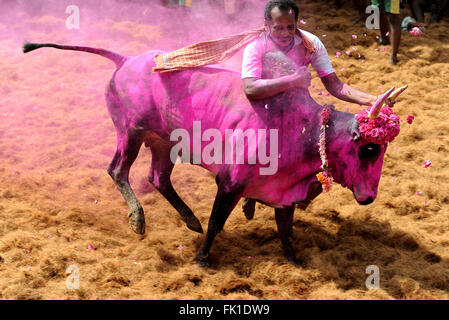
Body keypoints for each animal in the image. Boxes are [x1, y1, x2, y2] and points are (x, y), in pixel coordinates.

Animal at [22, 43, 404, 268]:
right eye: (369, 148)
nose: (369, 197)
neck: (304, 130)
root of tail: (128, 60)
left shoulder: (283, 194)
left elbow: (286, 231)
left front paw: (295, 261)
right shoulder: (230, 183)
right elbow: (218, 221)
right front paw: (203, 257)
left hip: (163, 142)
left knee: (158, 177)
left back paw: (189, 218)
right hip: (130, 132)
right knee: (118, 170)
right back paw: (138, 218)